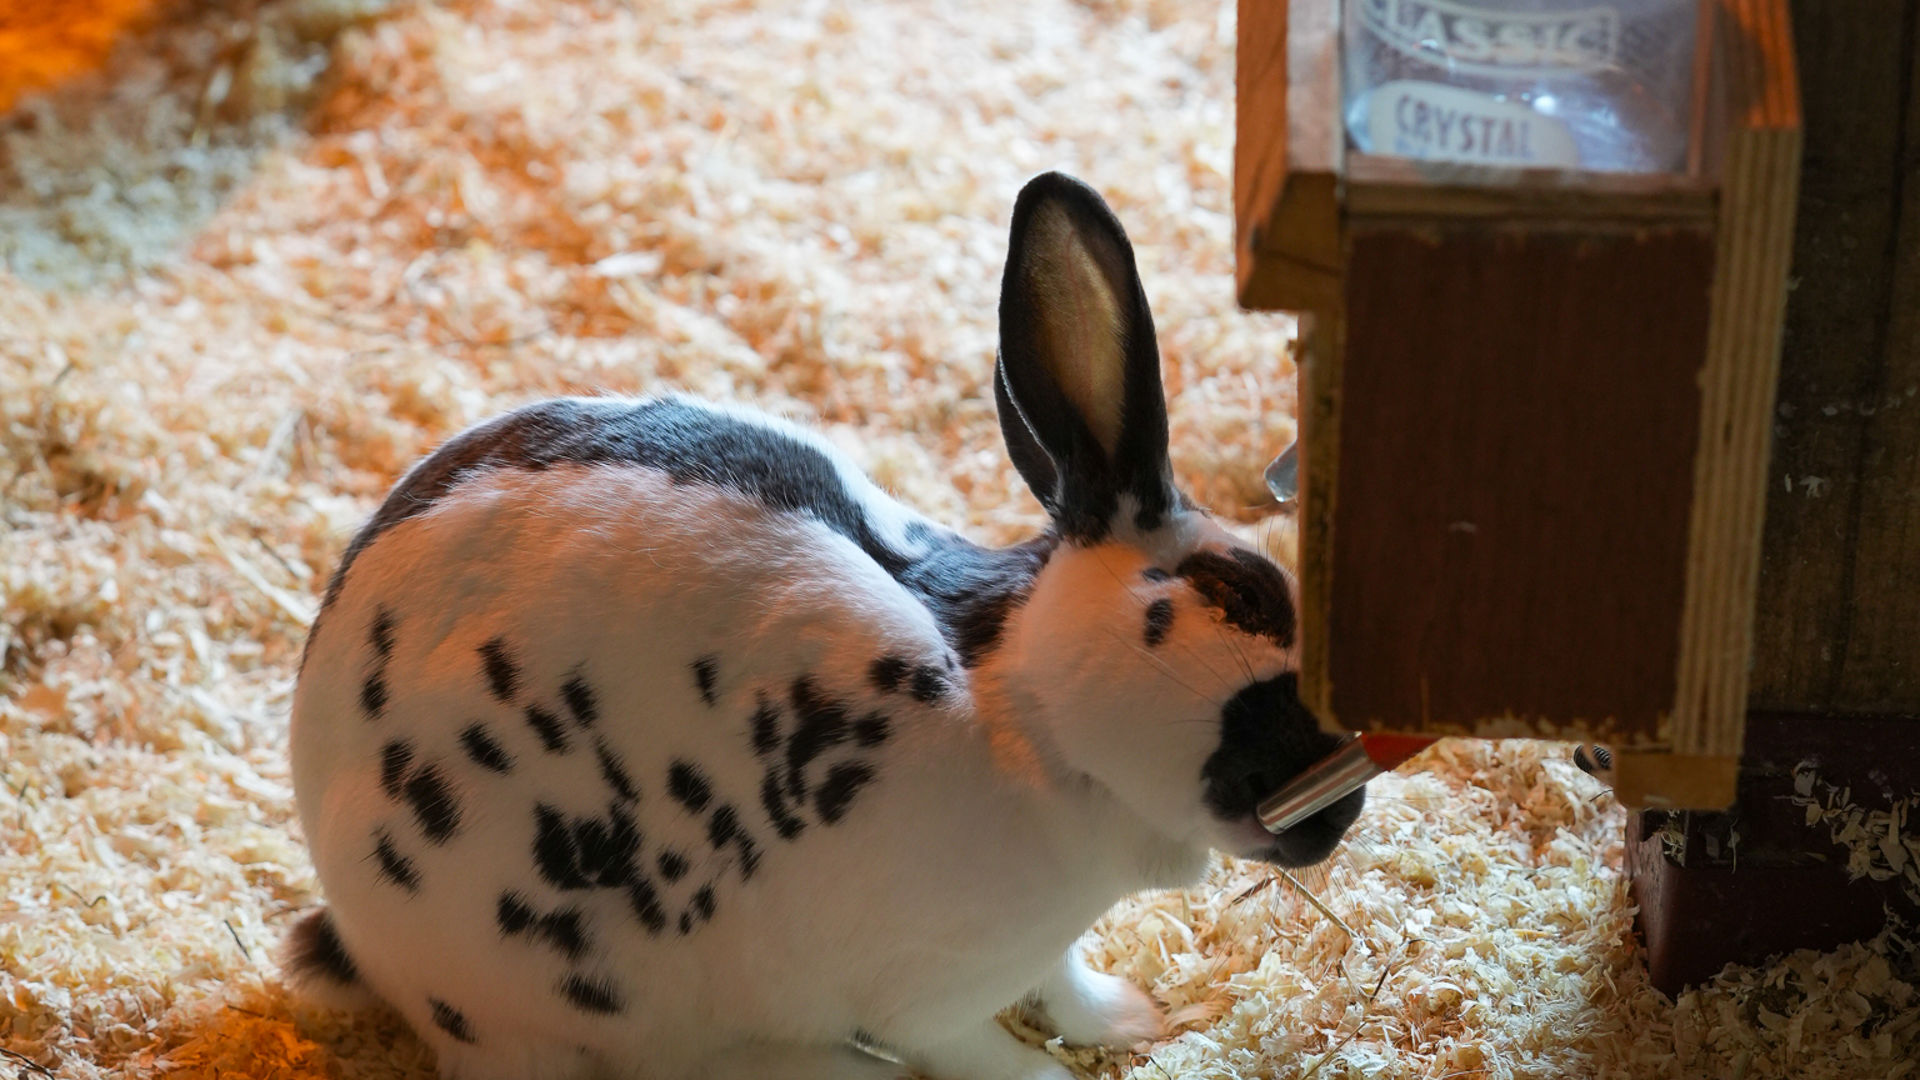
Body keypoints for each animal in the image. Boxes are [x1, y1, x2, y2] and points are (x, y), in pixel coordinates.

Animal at [284, 171, 1367, 1080]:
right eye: (1242, 596)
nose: (1342, 810)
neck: (1037, 726)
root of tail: (366, 942)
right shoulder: (932, 997)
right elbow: (993, 1055)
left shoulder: (1040, 949)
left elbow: (1065, 988)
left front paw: (1135, 1018)